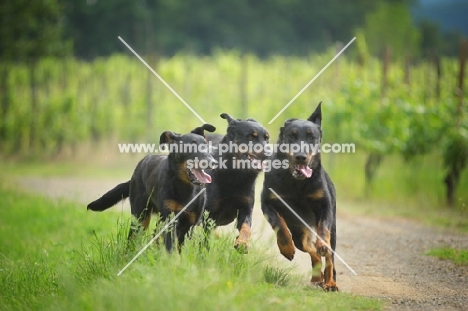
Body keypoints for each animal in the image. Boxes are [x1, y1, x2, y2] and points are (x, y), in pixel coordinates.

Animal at [87, 123, 216, 252]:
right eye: (191, 146)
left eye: (206, 146)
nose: (213, 162)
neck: (186, 188)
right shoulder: (170, 219)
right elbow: (171, 247)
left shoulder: (189, 222)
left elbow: (178, 249)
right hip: (140, 217)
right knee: (132, 239)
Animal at [206, 114, 268, 254]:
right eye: (251, 136)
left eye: (267, 138)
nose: (270, 154)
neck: (235, 175)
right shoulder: (209, 213)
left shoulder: (245, 208)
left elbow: (246, 228)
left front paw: (242, 243)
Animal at [262, 103, 338, 292]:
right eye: (292, 136)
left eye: (312, 137)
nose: (301, 157)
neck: (296, 183)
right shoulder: (267, 203)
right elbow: (279, 225)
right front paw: (286, 249)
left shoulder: (324, 206)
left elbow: (323, 231)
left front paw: (322, 244)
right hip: (300, 234)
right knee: (310, 250)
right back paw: (316, 278)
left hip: (333, 231)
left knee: (329, 257)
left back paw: (330, 282)